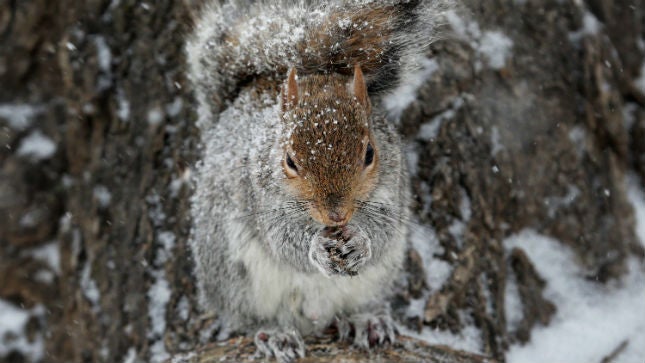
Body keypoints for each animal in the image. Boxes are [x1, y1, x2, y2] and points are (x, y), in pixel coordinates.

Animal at [185, 1, 448, 362]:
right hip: (234, 278)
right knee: (246, 317)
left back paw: (367, 320)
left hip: (376, 280)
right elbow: (284, 241)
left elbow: (382, 230)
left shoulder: (391, 188)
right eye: (289, 161)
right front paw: (316, 249)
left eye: (369, 153)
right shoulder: (261, 197)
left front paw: (360, 242)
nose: (336, 215)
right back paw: (274, 334)